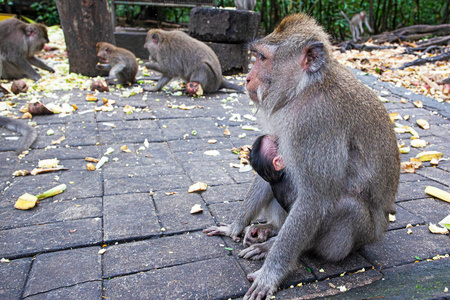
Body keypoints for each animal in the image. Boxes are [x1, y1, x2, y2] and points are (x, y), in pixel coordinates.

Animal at [202, 12, 400, 298]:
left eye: (262, 58)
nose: (247, 78)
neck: (306, 87)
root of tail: (381, 228)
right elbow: (269, 164)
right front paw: (234, 227)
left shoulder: (315, 121)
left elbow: (314, 199)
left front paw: (270, 275)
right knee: (278, 180)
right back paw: (267, 230)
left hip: (359, 237)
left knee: (345, 207)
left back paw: (274, 247)